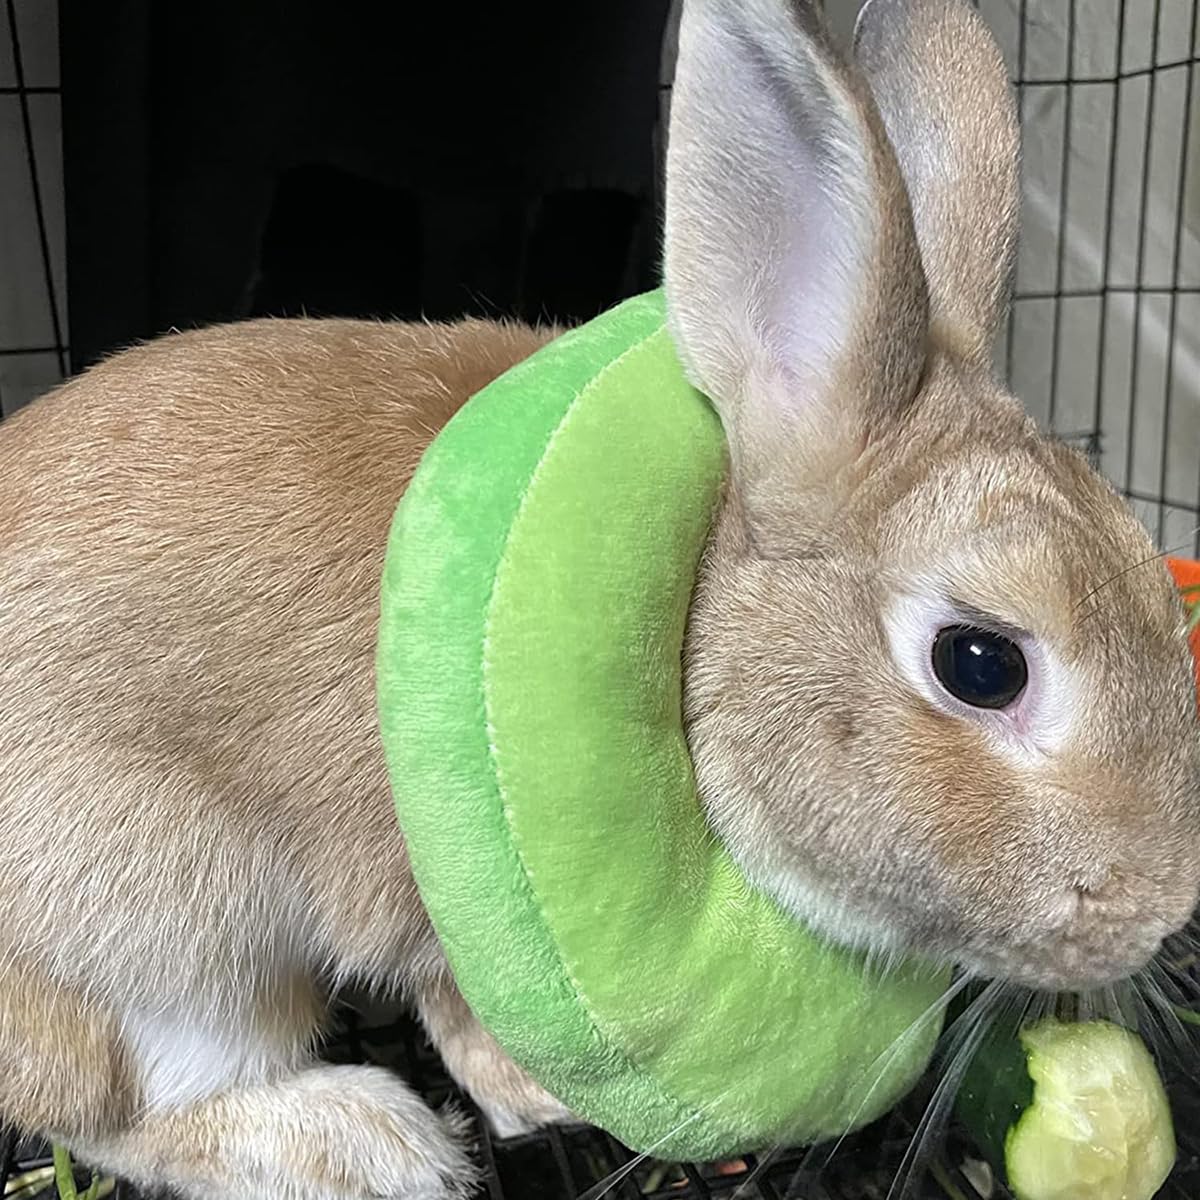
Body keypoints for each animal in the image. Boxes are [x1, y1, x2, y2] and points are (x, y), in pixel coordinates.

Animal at [0, 0, 1197, 1198]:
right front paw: (530, 1101)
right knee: (119, 1103)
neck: (697, 624)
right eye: (982, 663)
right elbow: (452, 1002)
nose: (1161, 912)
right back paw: (369, 1141)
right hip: (170, 926)